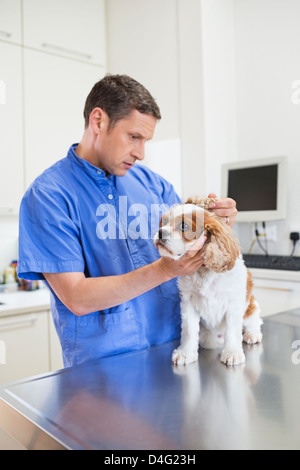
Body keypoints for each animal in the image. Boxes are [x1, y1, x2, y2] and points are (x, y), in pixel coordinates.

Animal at [155, 196, 262, 366]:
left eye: (183, 226)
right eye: (164, 221)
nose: (160, 232)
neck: (203, 270)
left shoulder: (234, 304)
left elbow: (233, 330)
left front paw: (232, 352)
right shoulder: (188, 304)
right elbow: (189, 331)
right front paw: (186, 353)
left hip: (251, 305)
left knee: (254, 320)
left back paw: (252, 334)